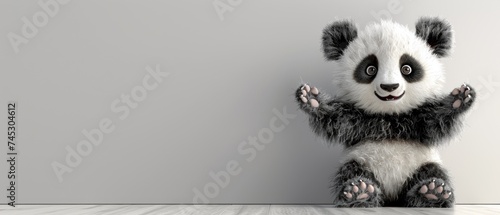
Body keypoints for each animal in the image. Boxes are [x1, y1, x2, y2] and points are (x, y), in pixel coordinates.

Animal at [294, 17, 474, 208]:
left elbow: (435, 122)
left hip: (422, 162)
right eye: (370, 69)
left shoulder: (415, 118)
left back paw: (432, 193)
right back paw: (360, 192)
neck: (389, 117)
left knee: (432, 172)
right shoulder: (361, 120)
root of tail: (391, 197)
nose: (389, 87)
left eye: (407, 68)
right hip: (360, 160)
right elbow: (337, 122)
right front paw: (311, 99)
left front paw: (459, 99)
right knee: (349, 172)